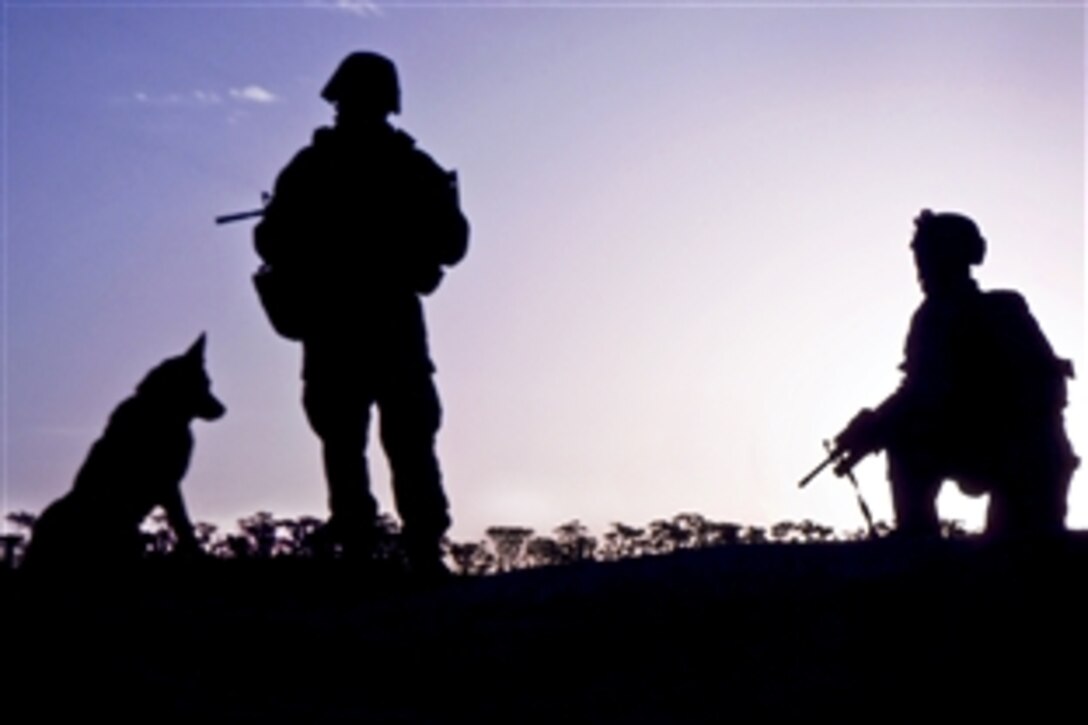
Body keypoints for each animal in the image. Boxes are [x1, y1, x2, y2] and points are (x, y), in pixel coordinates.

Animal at [23, 335, 225, 570]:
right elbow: (185, 528)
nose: (223, 409)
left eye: (209, 384)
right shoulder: (168, 486)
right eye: (201, 386)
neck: (161, 411)